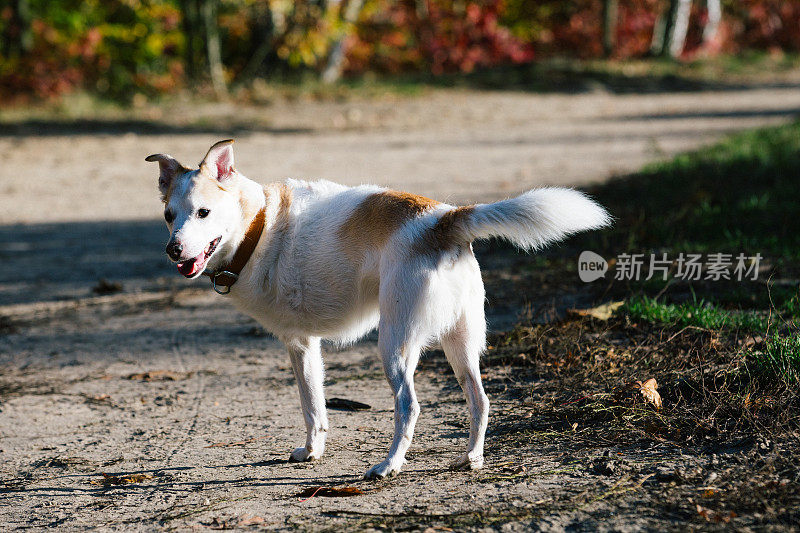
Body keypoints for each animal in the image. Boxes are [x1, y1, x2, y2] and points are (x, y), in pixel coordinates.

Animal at [147, 139, 608, 476]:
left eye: (203, 212)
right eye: (169, 215)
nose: (172, 250)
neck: (258, 227)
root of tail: (443, 219)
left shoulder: (298, 343)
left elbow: (308, 403)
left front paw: (314, 451)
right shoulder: (307, 348)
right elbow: (316, 407)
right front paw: (313, 450)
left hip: (395, 346)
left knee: (409, 407)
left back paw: (389, 466)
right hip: (461, 344)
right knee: (480, 401)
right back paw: (470, 458)